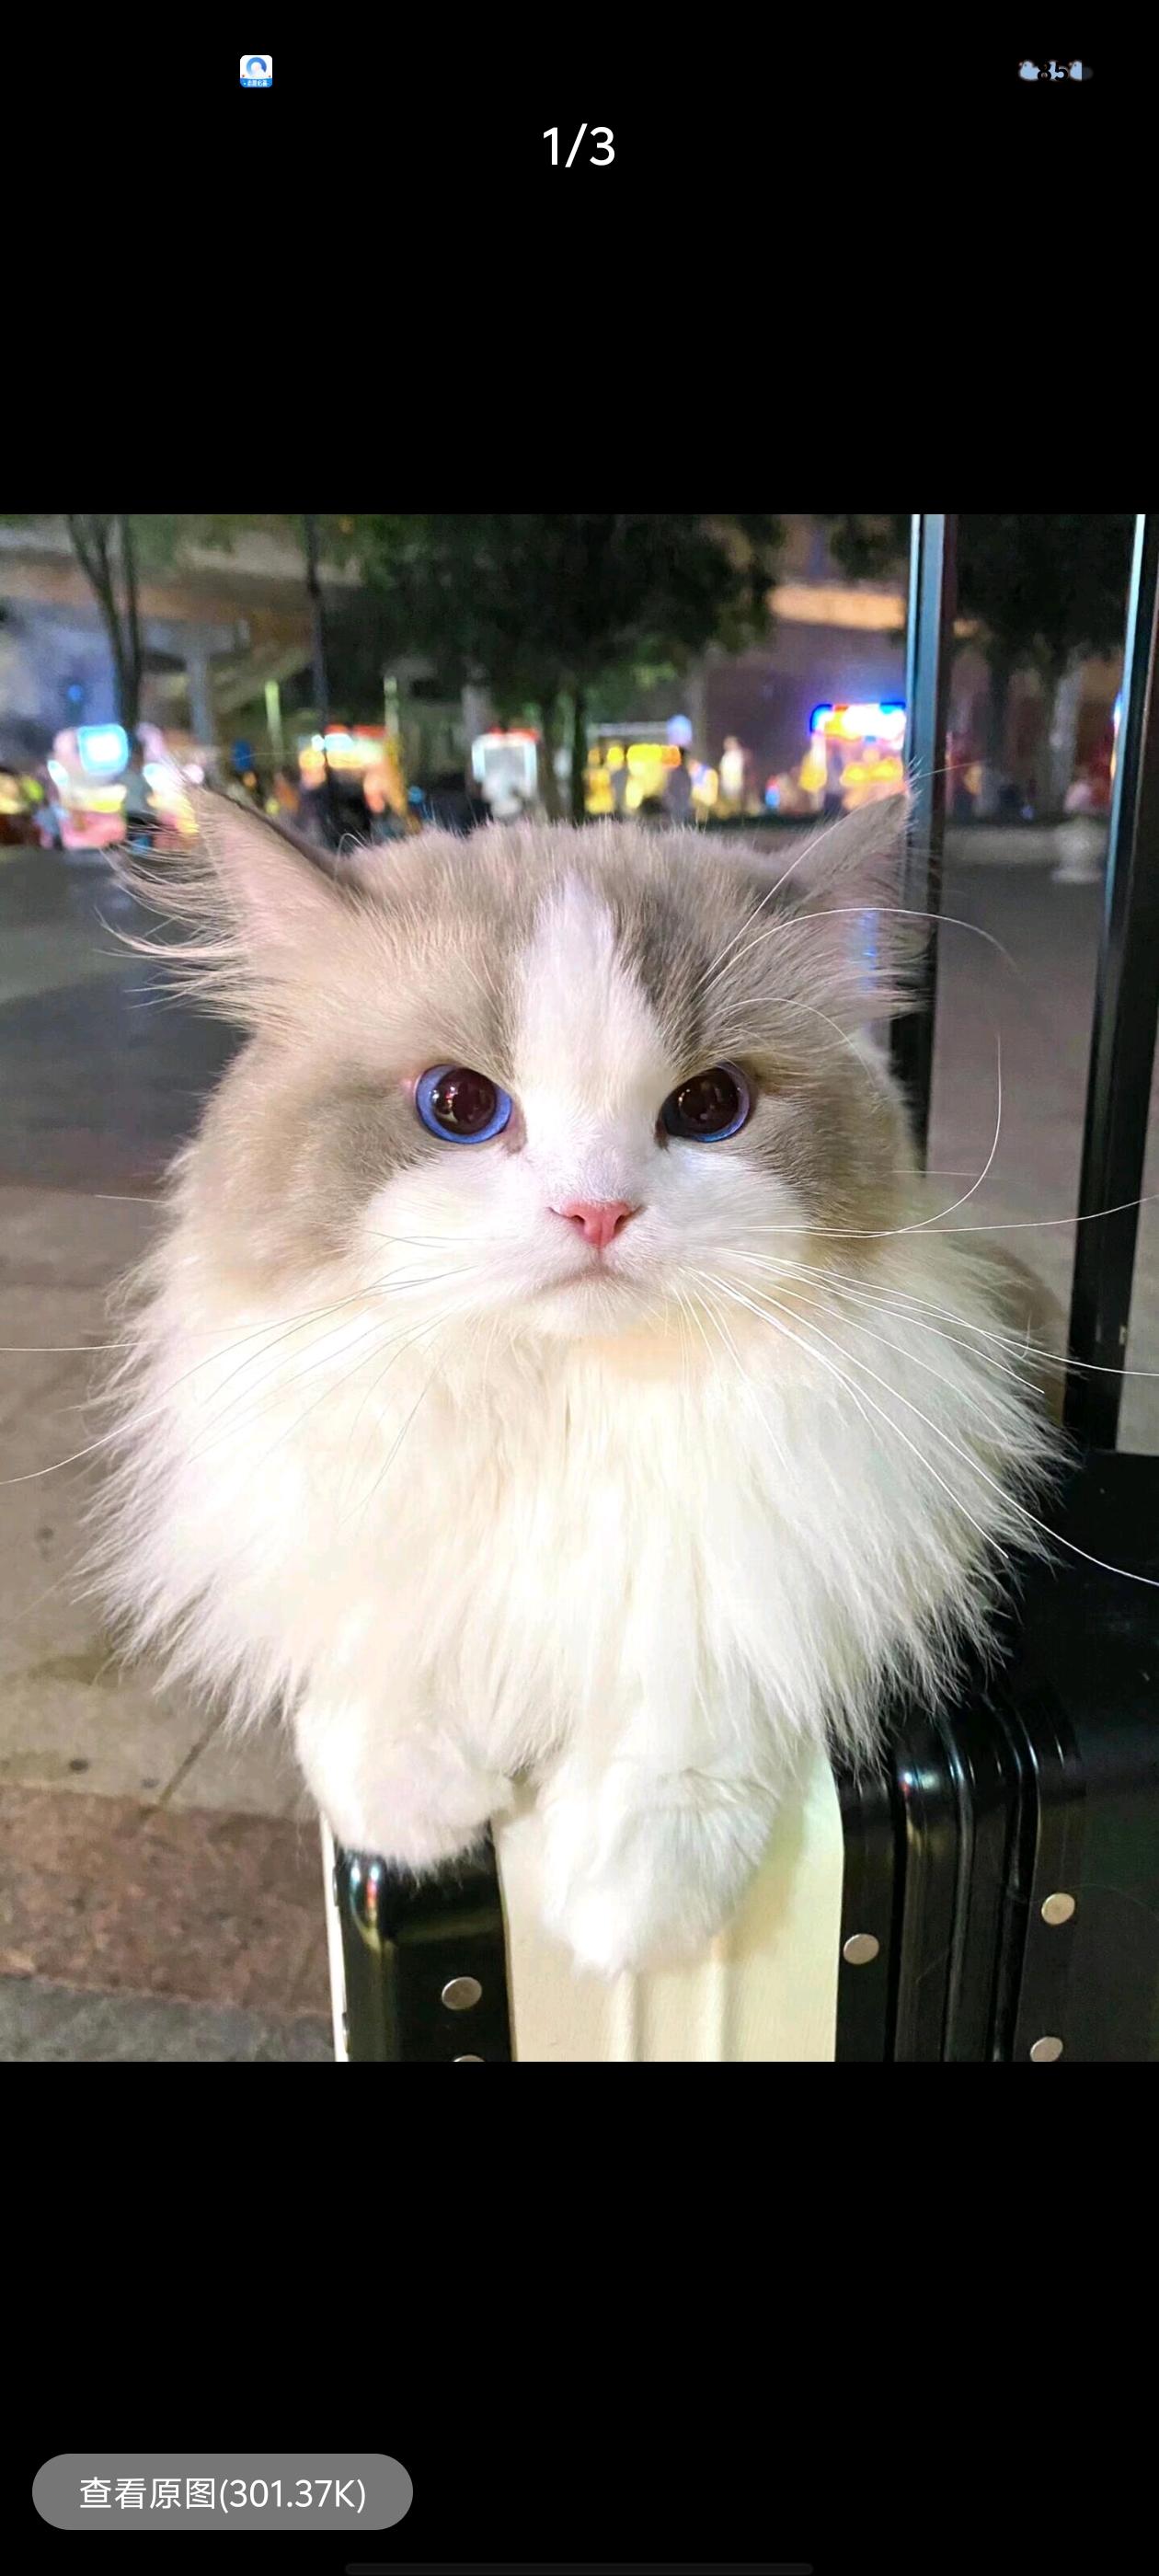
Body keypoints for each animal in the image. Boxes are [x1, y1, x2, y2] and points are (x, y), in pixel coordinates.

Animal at [91, 787, 1059, 1978]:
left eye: (710, 1105)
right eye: (458, 1105)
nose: (597, 1211)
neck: (568, 1397)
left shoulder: (794, 1545)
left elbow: (701, 1683)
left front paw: (629, 1897)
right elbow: (382, 1646)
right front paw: (412, 1800)